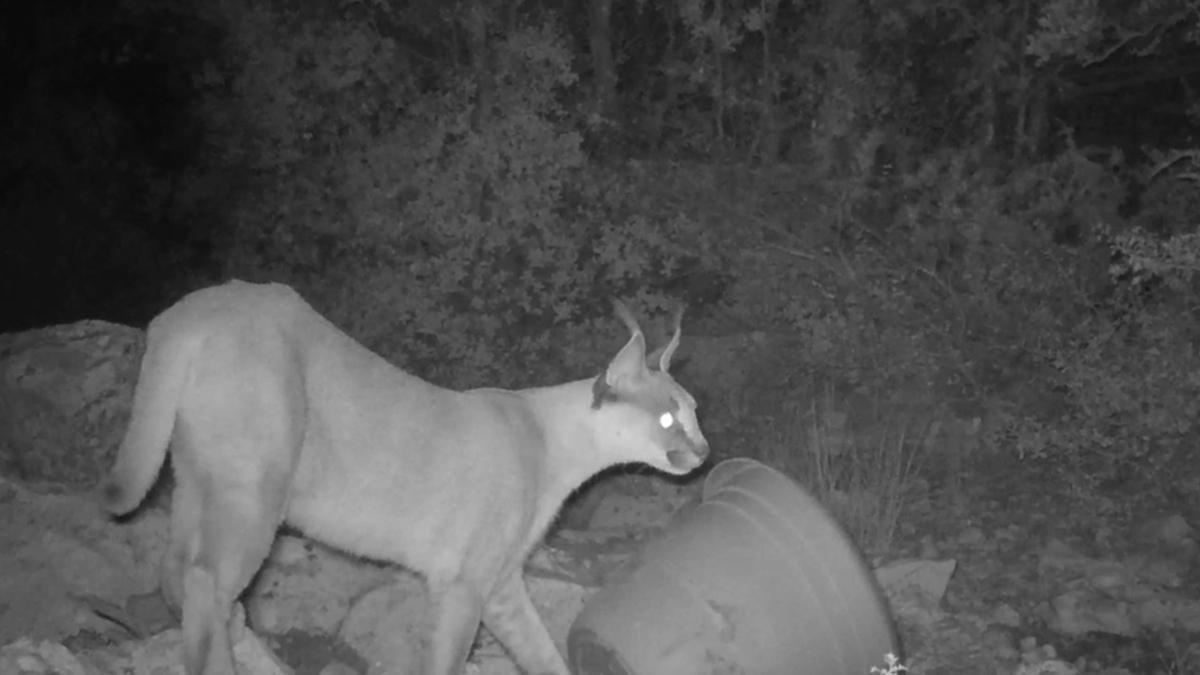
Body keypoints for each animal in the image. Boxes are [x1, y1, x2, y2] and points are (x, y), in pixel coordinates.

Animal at [98, 279, 710, 672]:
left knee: (177, 570)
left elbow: (541, 652)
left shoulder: (500, 581)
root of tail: (196, 306)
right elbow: (448, 660)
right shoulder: (465, 581)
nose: (704, 451)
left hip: (197, 480)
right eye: (666, 419)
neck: (552, 440)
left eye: (696, 411)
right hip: (256, 488)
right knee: (207, 579)